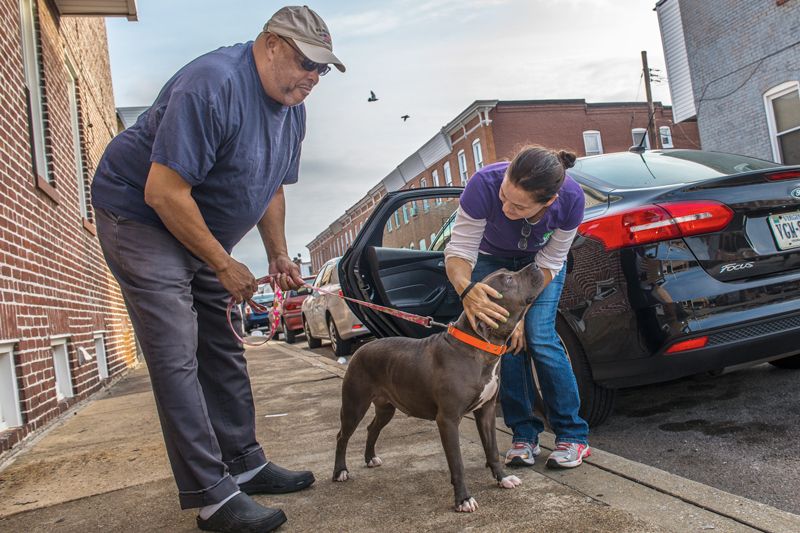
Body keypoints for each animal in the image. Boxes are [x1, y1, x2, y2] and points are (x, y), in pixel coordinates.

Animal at [334, 262, 548, 512]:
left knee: (372, 428)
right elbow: (457, 464)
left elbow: (493, 450)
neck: (479, 347)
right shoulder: (448, 420)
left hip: (386, 407)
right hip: (354, 405)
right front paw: (463, 499)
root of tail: (361, 348)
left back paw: (370, 458)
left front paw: (503, 479)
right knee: (342, 436)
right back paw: (340, 471)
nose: (536, 264)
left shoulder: (486, 412)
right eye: (508, 280)